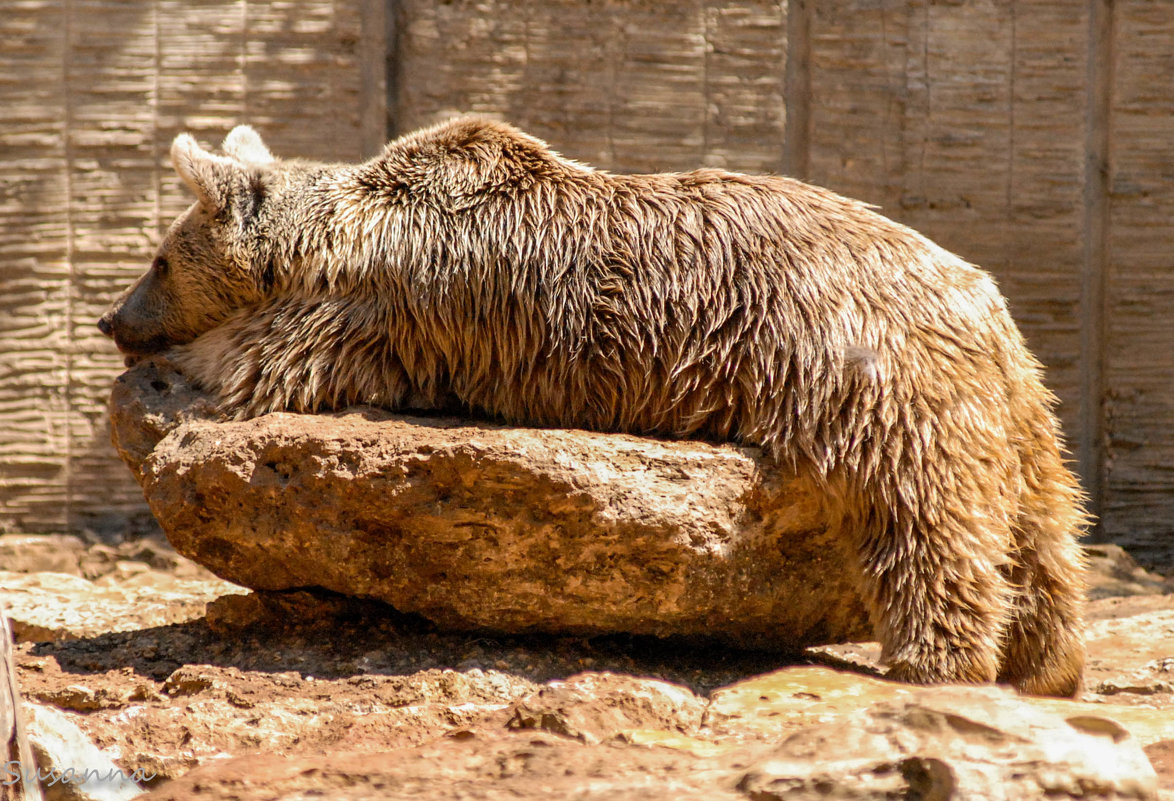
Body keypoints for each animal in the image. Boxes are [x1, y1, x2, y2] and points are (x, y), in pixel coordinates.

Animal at [100, 116, 1089, 690]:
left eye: (159, 258)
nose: (114, 319)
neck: (336, 235)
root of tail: (977, 296)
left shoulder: (382, 308)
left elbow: (267, 363)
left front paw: (170, 385)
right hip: (1017, 409)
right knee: (1041, 529)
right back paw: (1050, 665)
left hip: (863, 374)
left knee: (920, 516)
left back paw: (938, 663)